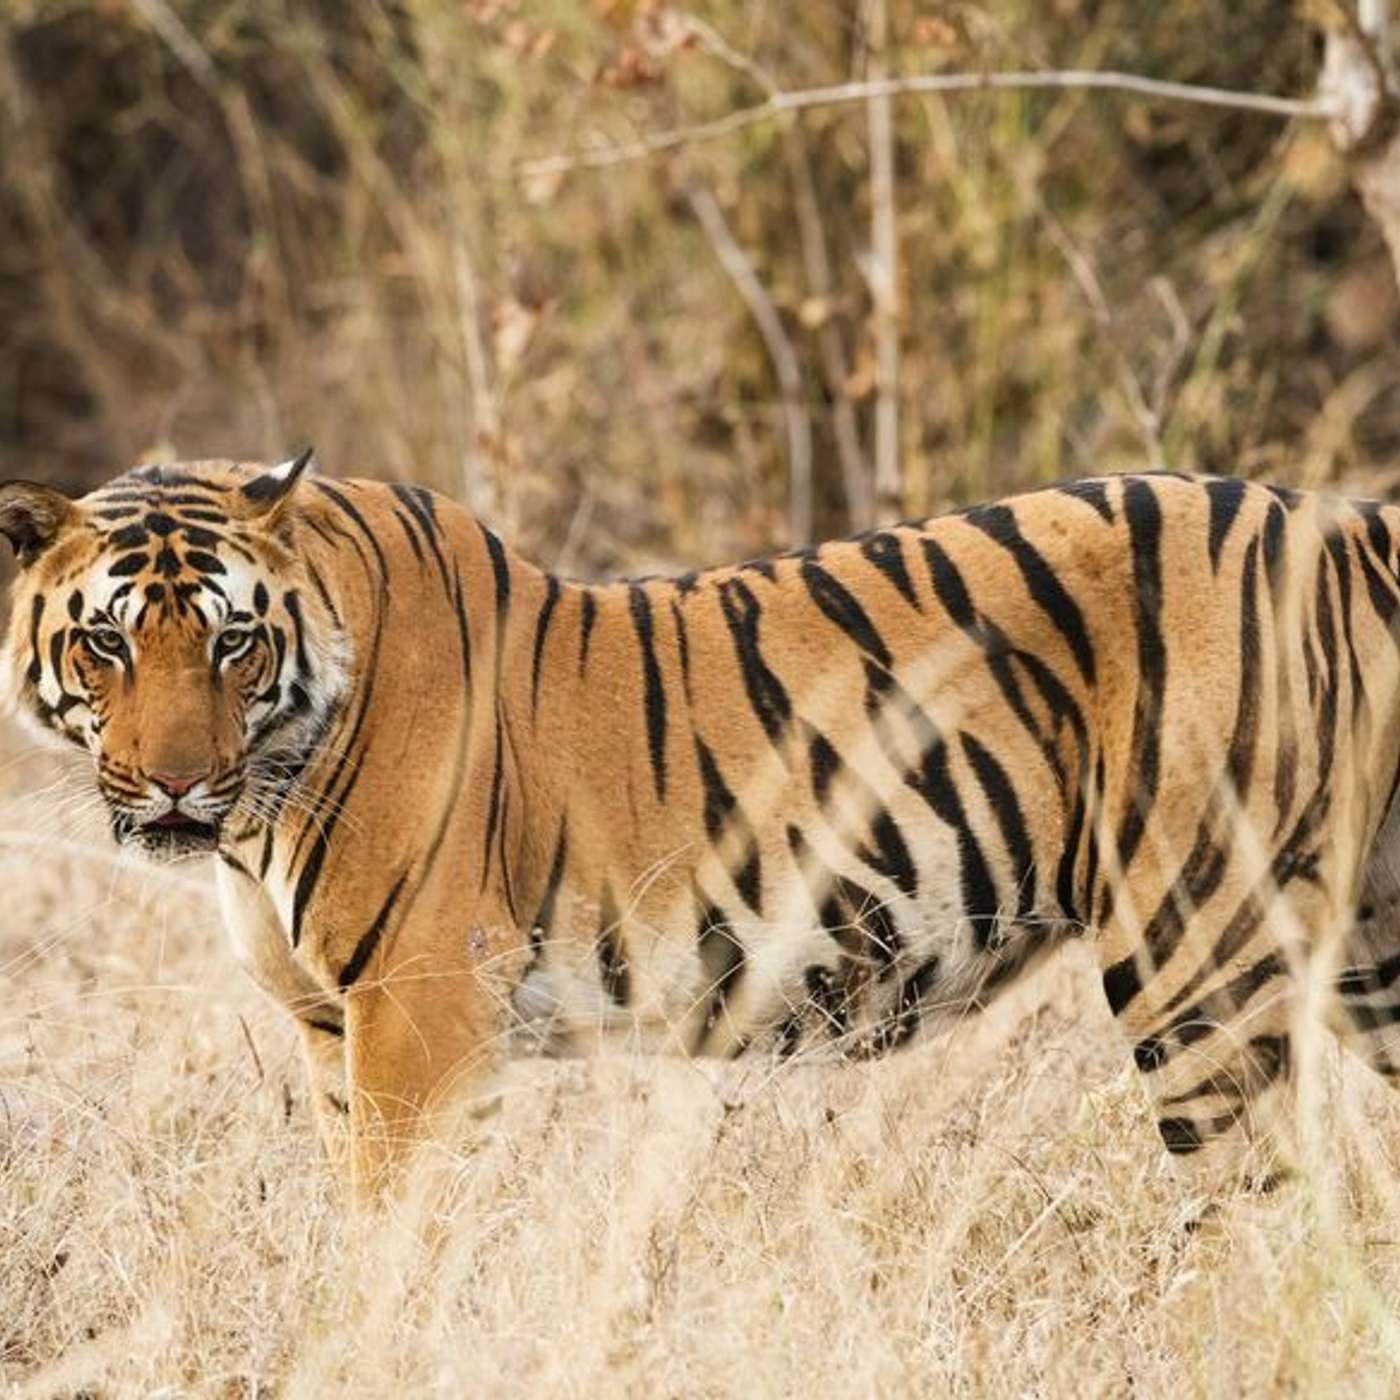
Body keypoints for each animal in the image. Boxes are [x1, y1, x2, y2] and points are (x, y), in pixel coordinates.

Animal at [4, 456, 1400, 1203]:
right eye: (108, 642)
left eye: (232, 641)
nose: (178, 785)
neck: (263, 803)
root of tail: (1332, 517)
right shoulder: (328, 1026)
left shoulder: (419, 1010)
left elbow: (395, 1234)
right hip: (1371, 949)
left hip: (1191, 950)